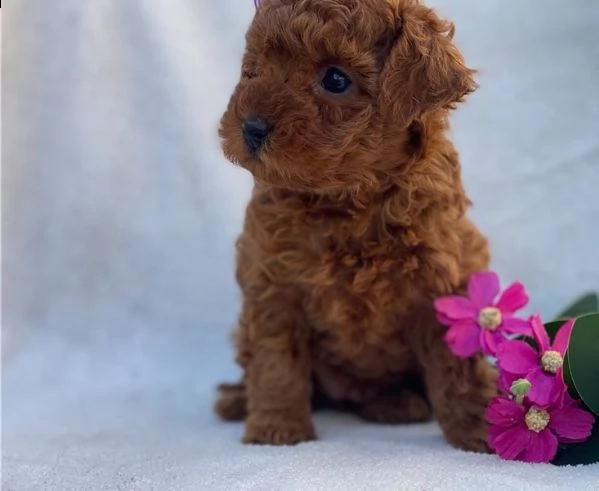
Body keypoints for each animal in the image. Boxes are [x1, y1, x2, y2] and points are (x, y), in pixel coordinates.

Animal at [216, 0, 496, 454]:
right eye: (254, 69)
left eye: (335, 79)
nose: (251, 127)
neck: (348, 196)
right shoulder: (272, 281)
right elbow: (276, 360)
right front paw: (276, 429)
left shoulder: (442, 281)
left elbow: (460, 369)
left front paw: (483, 431)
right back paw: (237, 400)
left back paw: (396, 403)